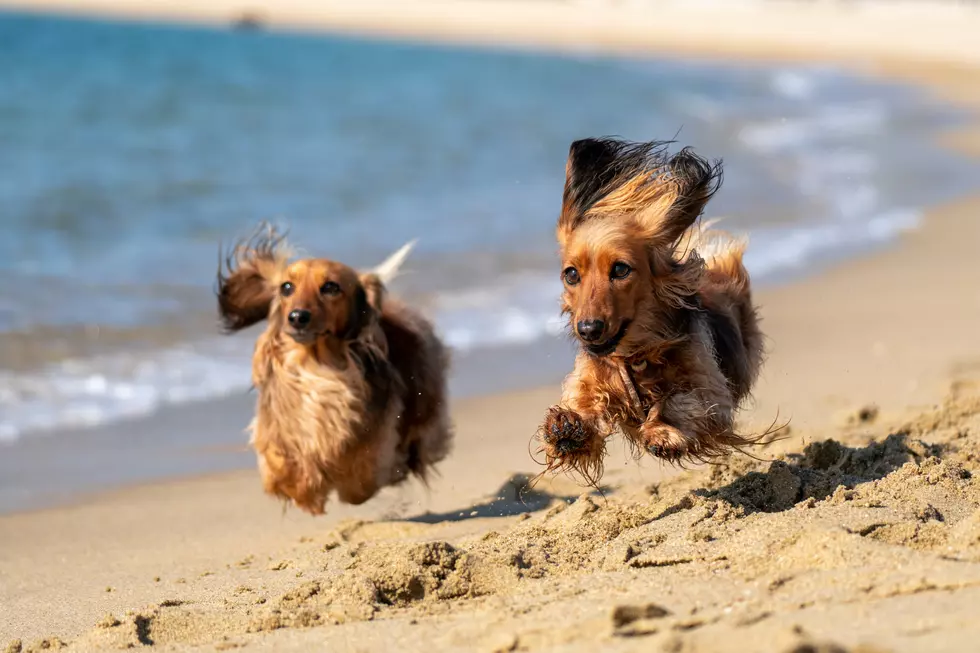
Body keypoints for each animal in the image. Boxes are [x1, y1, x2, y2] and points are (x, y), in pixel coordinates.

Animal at [216, 225, 454, 516]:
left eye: (330, 287)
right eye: (286, 287)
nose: (297, 317)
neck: (316, 365)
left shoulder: (374, 439)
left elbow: (359, 479)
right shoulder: (278, 431)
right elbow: (281, 465)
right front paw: (306, 488)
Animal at [540, 138, 768, 484]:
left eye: (621, 269)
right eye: (571, 274)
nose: (588, 330)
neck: (635, 356)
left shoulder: (712, 393)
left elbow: (680, 400)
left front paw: (663, 431)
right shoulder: (591, 377)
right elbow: (584, 402)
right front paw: (567, 427)